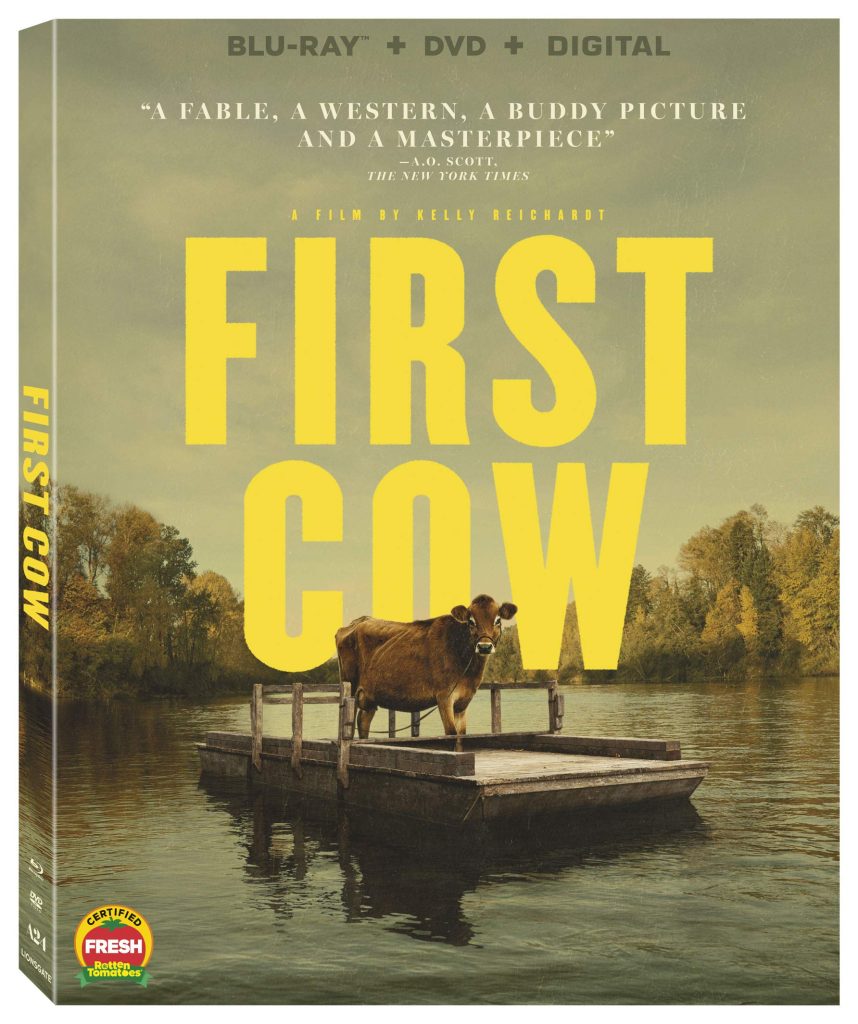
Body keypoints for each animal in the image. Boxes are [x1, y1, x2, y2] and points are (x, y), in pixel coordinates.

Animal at [335, 594, 518, 748]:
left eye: (498, 620)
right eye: (471, 621)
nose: (484, 646)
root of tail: (358, 621)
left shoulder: (463, 701)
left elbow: (461, 736)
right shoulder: (444, 697)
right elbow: (451, 734)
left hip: (370, 695)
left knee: (363, 721)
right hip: (351, 687)